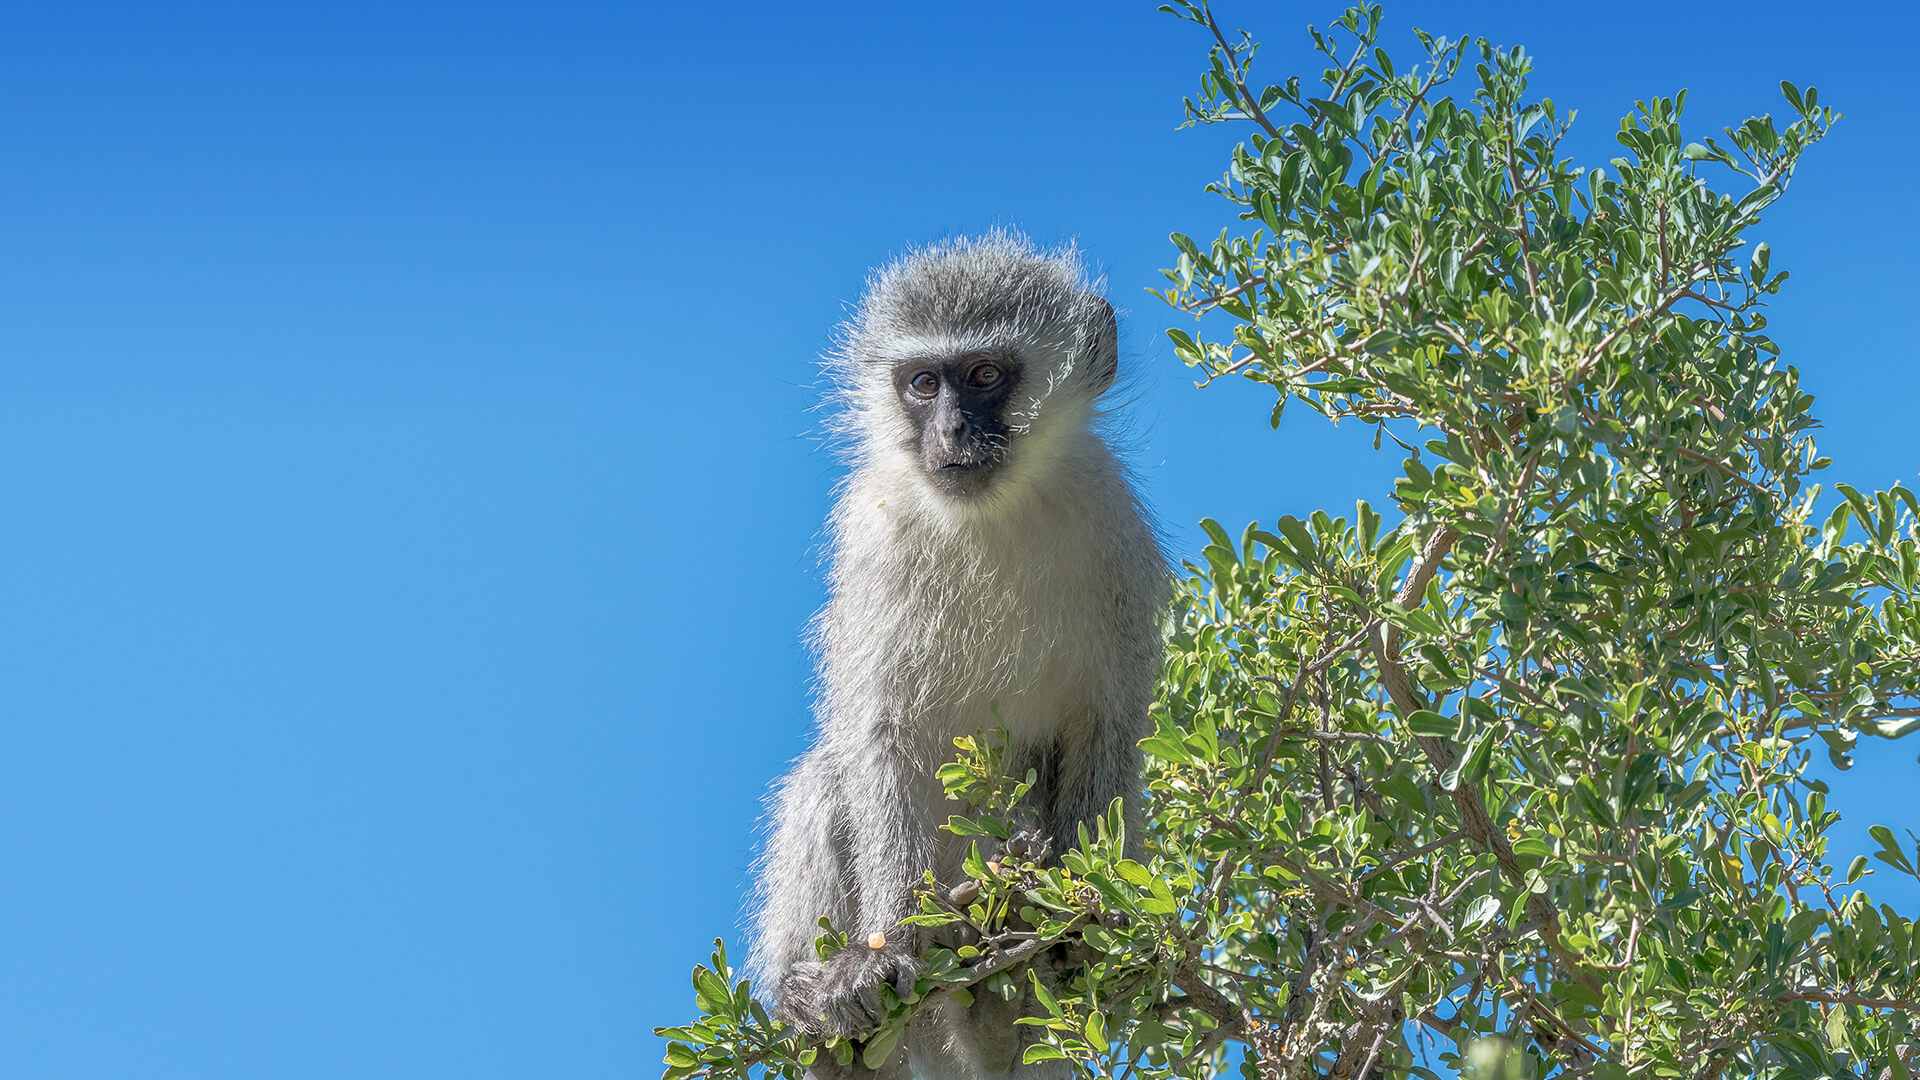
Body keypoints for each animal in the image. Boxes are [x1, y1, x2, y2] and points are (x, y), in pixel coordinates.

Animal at [748, 231, 1167, 1068]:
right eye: (921, 383)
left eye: (983, 376)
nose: (949, 433)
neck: (990, 516)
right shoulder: (874, 538)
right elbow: (880, 732)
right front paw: (884, 953)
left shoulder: (1113, 534)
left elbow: (1109, 724)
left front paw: (1090, 920)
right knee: (828, 777)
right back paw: (820, 1010)